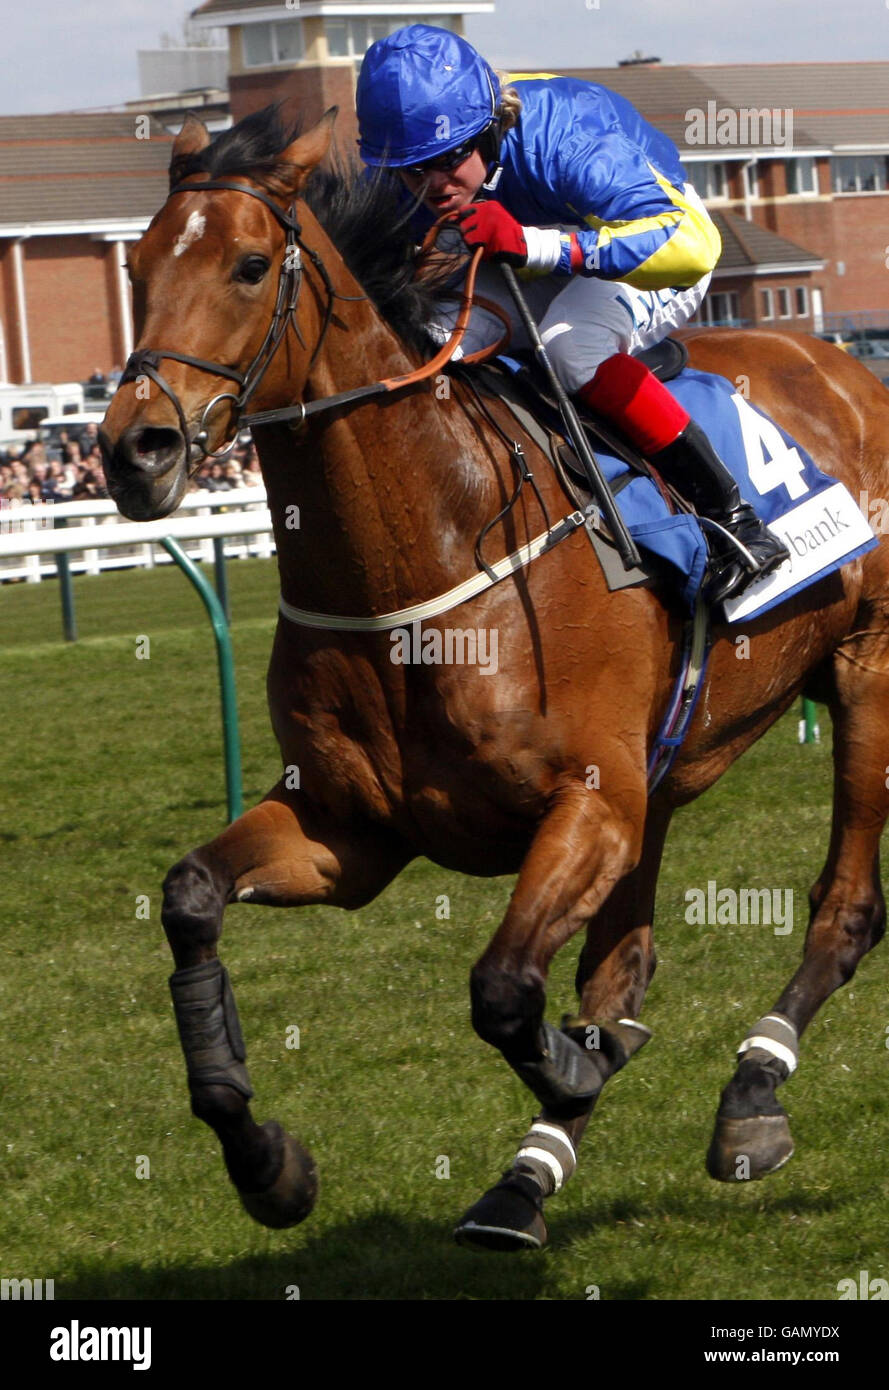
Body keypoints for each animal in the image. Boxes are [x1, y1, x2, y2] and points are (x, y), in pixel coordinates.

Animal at [100, 108, 889, 1256]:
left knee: (843, 908)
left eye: (248, 266)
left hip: (865, 673)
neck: (422, 553)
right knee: (623, 962)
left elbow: (505, 990)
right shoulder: (351, 830)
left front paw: (579, 1069)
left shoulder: (586, 805)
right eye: (141, 269)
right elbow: (191, 895)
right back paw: (527, 1176)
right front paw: (265, 1162)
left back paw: (751, 1089)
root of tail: (841, 366)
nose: (135, 449)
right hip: (659, 773)